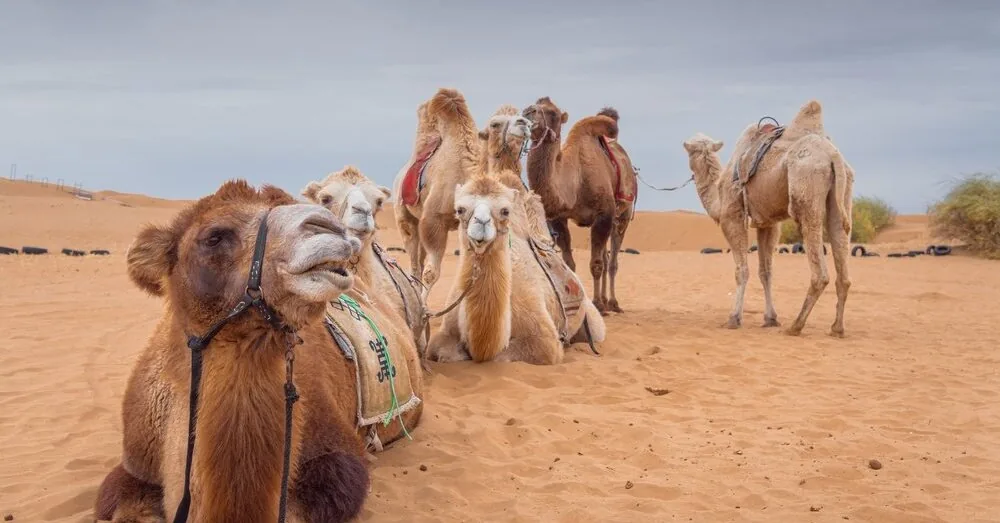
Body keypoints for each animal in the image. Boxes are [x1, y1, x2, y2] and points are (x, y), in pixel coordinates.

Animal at [392, 88, 531, 297]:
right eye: (495, 123)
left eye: (520, 115)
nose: (525, 123)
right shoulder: (433, 220)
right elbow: (431, 273)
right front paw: (423, 306)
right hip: (404, 213)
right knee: (415, 261)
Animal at [425, 172, 606, 365]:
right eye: (460, 209)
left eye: (505, 211)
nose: (481, 223)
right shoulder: (445, 333)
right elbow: (442, 352)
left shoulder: (545, 341)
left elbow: (500, 358)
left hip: (591, 321)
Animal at [521, 98, 638, 314]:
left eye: (553, 113)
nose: (527, 112)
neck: (576, 180)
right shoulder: (559, 218)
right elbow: (570, 263)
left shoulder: (603, 214)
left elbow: (596, 264)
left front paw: (598, 305)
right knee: (607, 258)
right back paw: (606, 301)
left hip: (623, 215)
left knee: (612, 262)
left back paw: (612, 303)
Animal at [681, 99, 854, 337]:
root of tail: (833, 156)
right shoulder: (768, 222)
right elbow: (766, 271)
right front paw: (770, 318)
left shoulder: (731, 216)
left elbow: (741, 270)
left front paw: (734, 318)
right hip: (843, 192)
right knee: (841, 251)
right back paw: (837, 328)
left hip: (807, 187)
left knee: (819, 268)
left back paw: (796, 325)